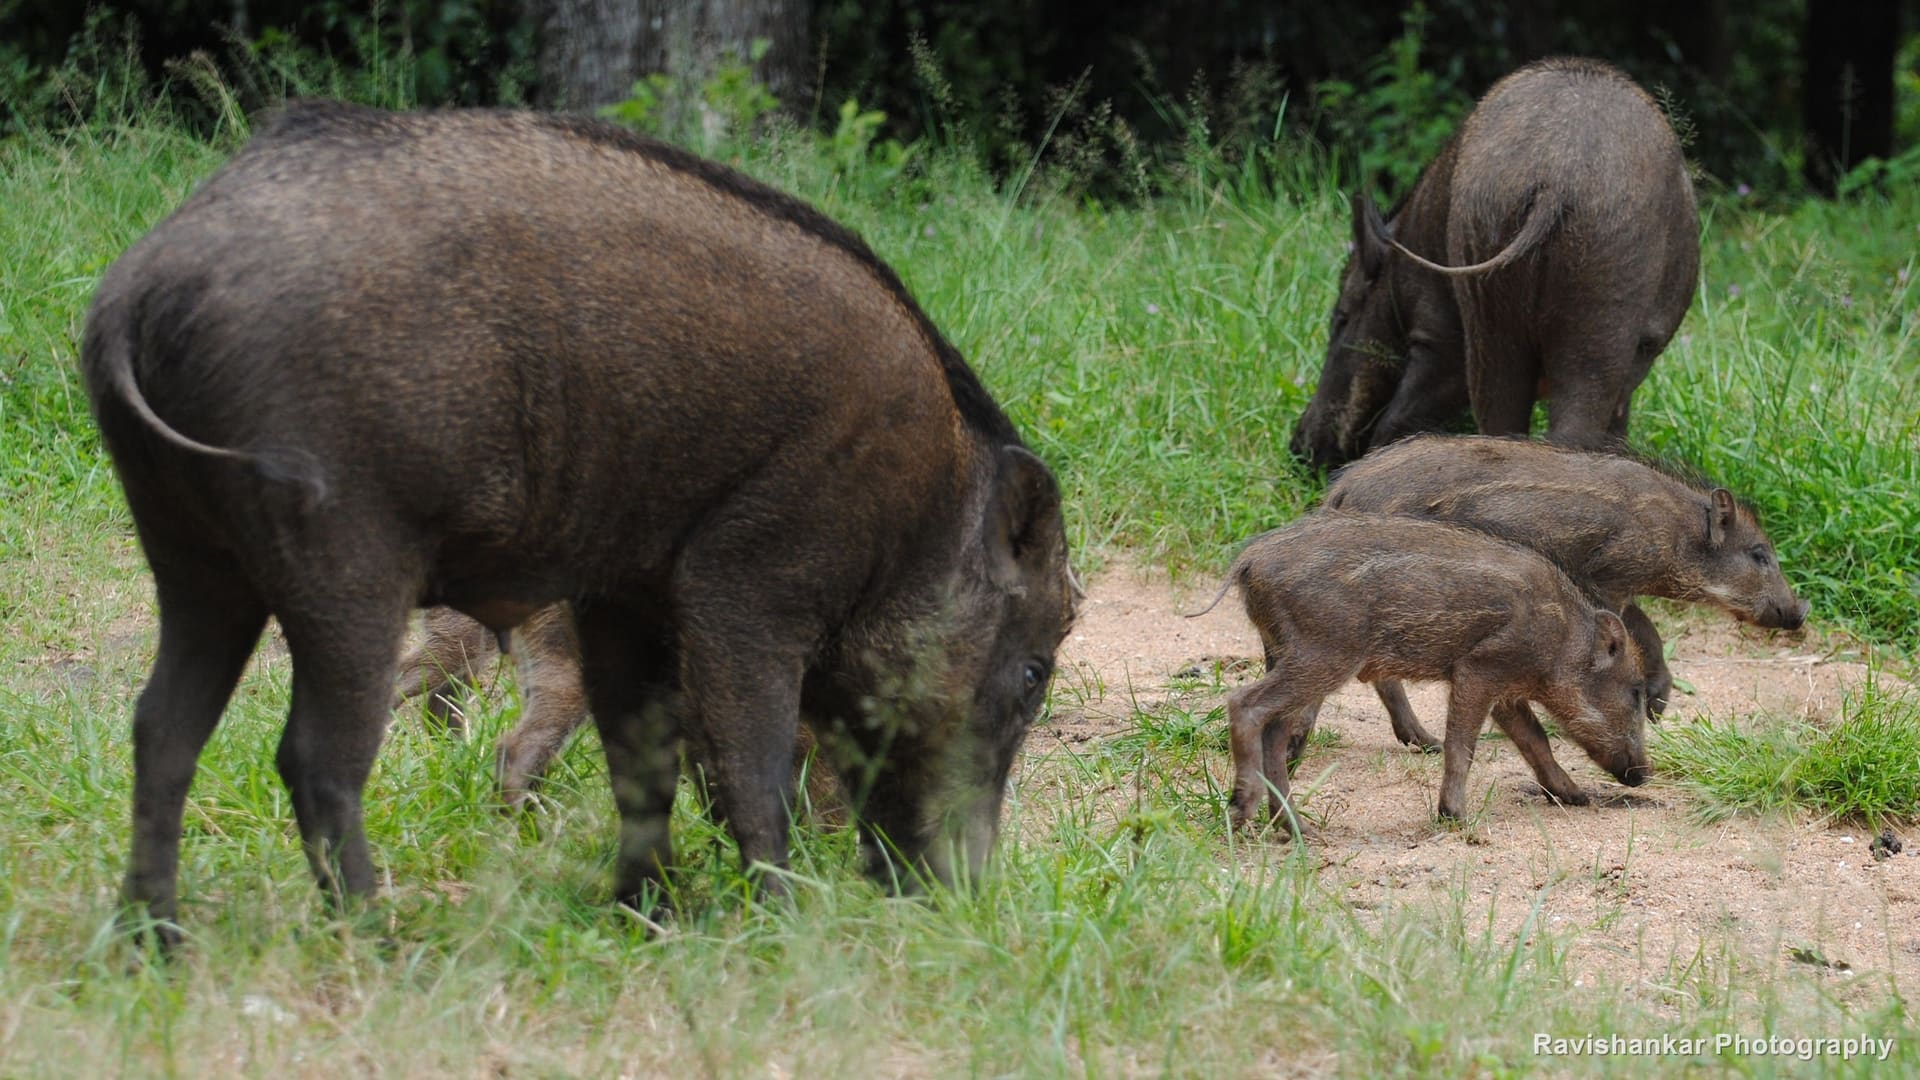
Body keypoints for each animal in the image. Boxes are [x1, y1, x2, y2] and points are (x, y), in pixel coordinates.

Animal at [1212, 513, 1650, 830]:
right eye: (1636, 691)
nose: (1643, 775)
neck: (1562, 640)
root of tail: (1249, 562)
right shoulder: (1478, 669)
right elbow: (1463, 744)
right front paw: (1454, 817)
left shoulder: (1506, 693)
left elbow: (1535, 740)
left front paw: (1575, 797)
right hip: (1321, 656)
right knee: (1244, 704)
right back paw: (1243, 812)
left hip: (1288, 653)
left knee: (1275, 732)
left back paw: (1298, 829)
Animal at [1325, 435, 1809, 749]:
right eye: (1760, 554)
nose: (1799, 612)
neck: (1676, 533)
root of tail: (1342, 489)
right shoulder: (1609, 580)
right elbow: (1641, 634)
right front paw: (1654, 707)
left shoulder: (1615, 587)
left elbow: (1646, 633)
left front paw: (1657, 707)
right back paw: (1425, 741)